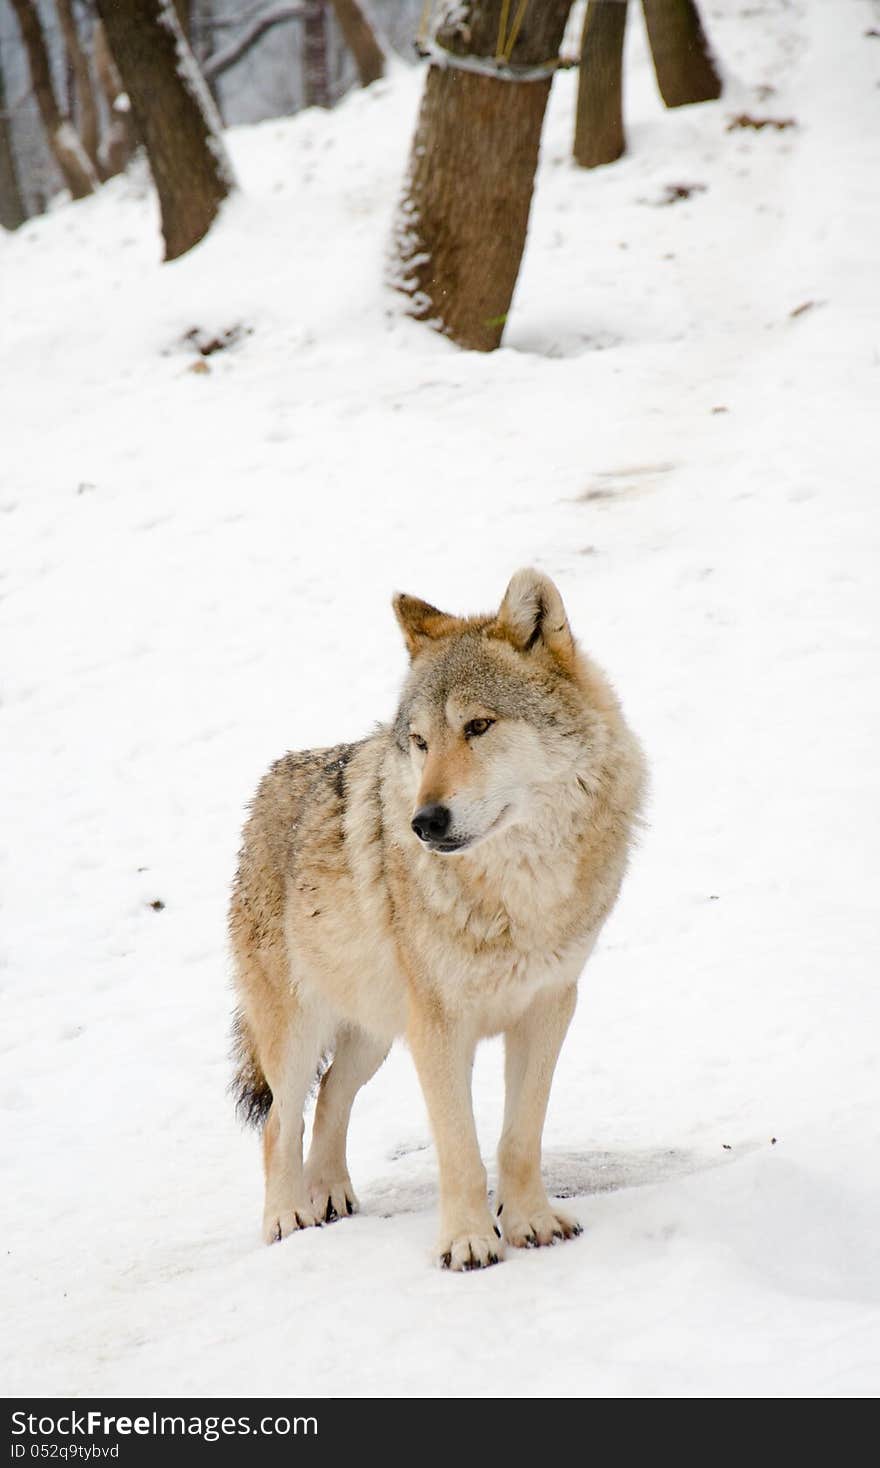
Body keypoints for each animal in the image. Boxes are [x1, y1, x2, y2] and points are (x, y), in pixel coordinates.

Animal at [229, 566, 646, 1268]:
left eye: (478, 726)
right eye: (421, 742)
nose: (424, 822)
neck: (517, 892)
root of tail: (265, 789)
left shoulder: (549, 1006)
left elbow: (518, 1139)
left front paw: (531, 1223)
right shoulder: (440, 1029)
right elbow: (461, 1151)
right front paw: (469, 1241)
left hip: (373, 1035)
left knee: (331, 1095)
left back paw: (329, 1194)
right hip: (300, 1033)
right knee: (282, 1123)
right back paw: (286, 1217)